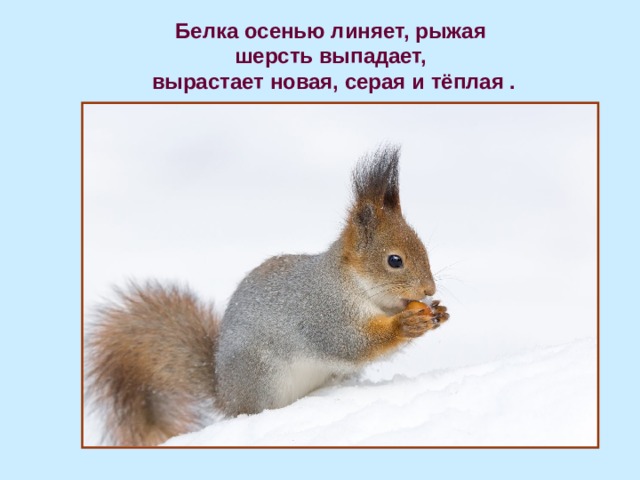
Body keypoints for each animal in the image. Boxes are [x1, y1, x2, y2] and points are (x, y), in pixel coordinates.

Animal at [85, 145, 449, 446]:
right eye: (394, 261)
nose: (429, 290)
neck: (357, 288)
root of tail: (225, 393)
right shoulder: (323, 312)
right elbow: (351, 343)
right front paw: (405, 324)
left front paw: (439, 312)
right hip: (261, 375)